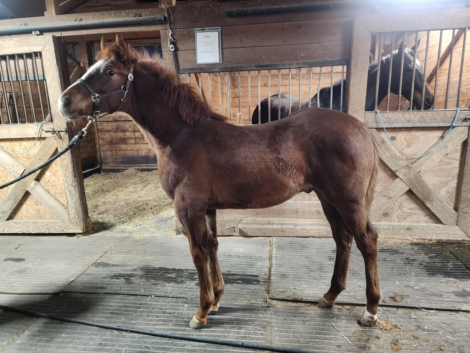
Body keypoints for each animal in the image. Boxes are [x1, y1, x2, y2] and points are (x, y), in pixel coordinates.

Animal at [58, 35, 382, 328]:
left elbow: (198, 253)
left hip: (347, 200)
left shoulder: (188, 208)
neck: (181, 136)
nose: (64, 101)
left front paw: (201, 312)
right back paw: (329, 296)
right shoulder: (208, 208)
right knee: (342, 239)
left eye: (109, 72)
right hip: (327, 199)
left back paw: (370, 311)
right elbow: (212, 246)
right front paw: (215, 300)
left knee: (367, 240)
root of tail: (362, 130)